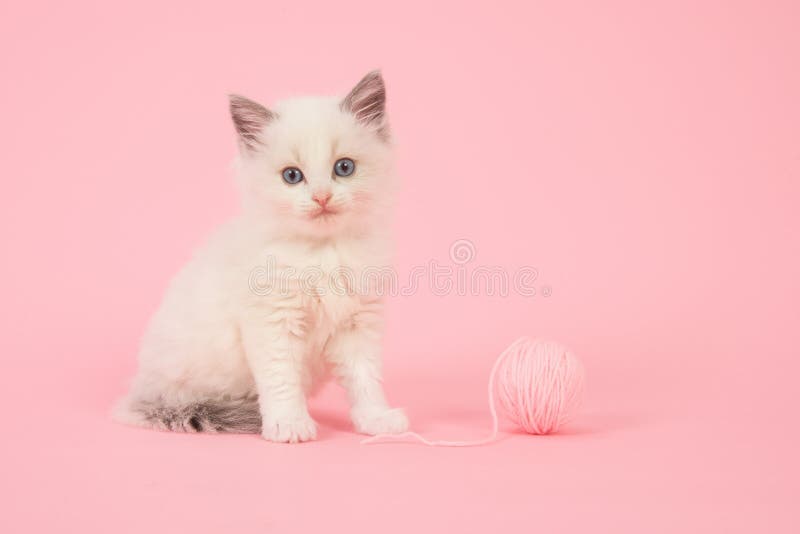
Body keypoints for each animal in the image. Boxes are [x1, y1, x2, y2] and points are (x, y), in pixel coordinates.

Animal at [115, 71, 410, 444]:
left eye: (344, 168)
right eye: (292, 176)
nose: (322, 198)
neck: (322, 252)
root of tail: (138, 393)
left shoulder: (359, 322)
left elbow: (365, 379)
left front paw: (377, 419)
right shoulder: (273, 321)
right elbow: (281, 379)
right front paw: (289, 424)